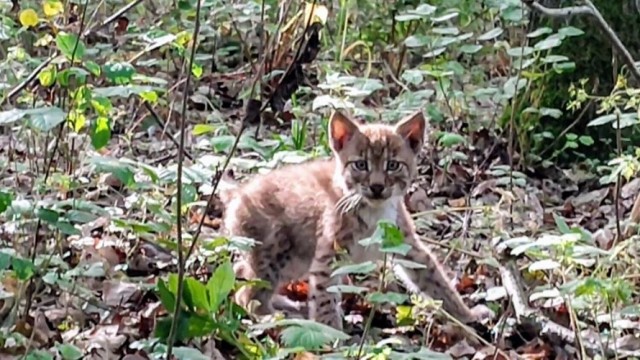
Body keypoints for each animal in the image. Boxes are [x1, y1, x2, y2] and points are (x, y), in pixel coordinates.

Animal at [222, 109, 492, 330]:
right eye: (361, 165)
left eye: (393, 165)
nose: (377, 187)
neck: (374, 208)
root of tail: (238, 194)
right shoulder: (328, 254)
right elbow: (325, 297)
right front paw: (329, 335)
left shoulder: (406, 244)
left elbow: (435, 279)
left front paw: (466, 315)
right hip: (275, 252)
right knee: (247, 295)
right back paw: (274, 317)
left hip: (291, 260)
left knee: (241, 273)